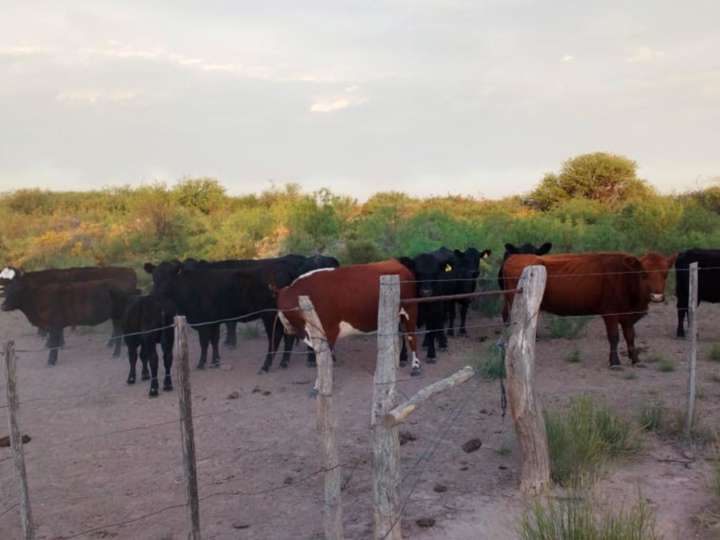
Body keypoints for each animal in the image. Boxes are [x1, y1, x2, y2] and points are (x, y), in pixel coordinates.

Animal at [1, 278, 130, 368]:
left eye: (17, 291)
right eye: (6, 291)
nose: (3, 306)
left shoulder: (54, 326)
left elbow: (54, 343)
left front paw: (51, 361)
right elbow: (55, 342)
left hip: (117, 316)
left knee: (118, 332)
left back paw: (116, 353)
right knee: (118, 332)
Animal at [143, 262, 292, 372]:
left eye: (169, 277)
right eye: (154, 277)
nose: (156, 292)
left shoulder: (203, 322)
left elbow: (204, 343)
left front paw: (201, 363)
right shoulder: (214, 321)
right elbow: (214, 341)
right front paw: (215, 361)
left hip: (270, 314)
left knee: (275, 336)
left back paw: (266, 366)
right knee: (287, 335)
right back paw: (284, 362)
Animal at [274, 260, 422, 374]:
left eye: (288, 310)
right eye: (278, 306)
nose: (286, 328)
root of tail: (395, 262)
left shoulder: (329, 330)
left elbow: (324, 360)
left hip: (410, 310)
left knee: (411, 337)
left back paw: (415, 366)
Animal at [500, 251, 676, 370]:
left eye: (665, 274)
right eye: (643, 273)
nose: (657, 296)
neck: (624, 277)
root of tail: (514, 257)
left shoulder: (628, 316)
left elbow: (630, 337)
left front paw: (635, 359)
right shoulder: (610, 314)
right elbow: (614, 337)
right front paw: (615, 362)